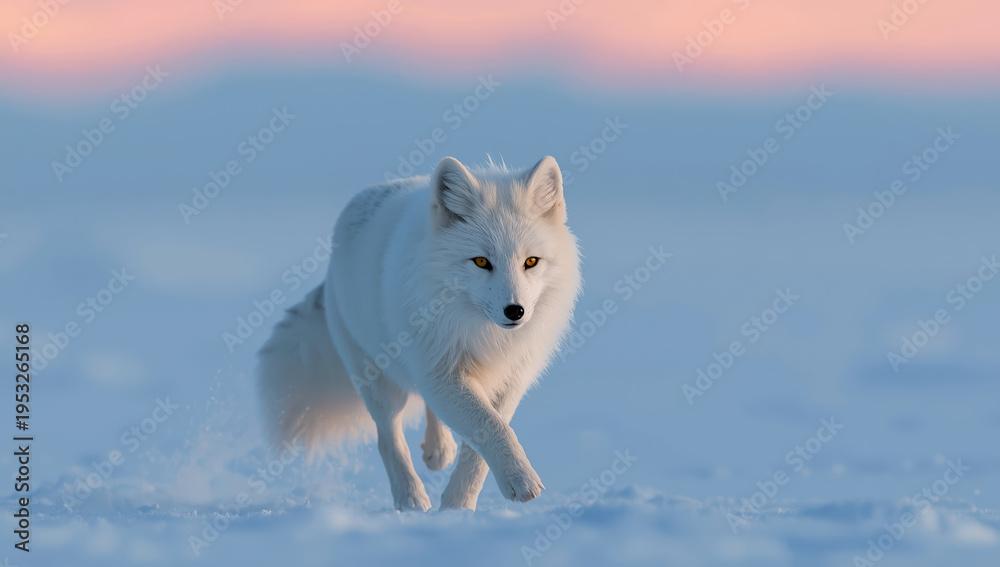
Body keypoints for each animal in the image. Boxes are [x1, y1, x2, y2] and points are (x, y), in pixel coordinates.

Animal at [257, 155, 582, 511]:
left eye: (531, 261)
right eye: (481, 262)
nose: (516, 311)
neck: (483, 334)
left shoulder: (509, 377)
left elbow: (481, 441)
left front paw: (459, 505)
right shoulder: (440, 370)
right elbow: (490, 426)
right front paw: (517, 480)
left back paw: (438, 451)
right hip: (379, 379)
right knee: (388, 437)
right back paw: (410, 498)